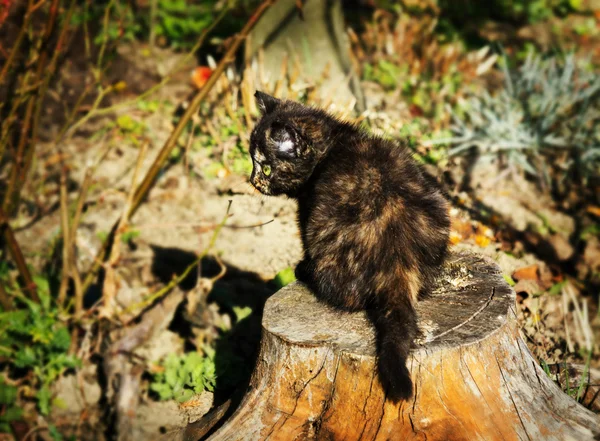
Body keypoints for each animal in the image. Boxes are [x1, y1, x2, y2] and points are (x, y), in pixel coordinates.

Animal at [248, 91, 450, 400]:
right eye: (251, 160)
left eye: (266, 167)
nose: (252, 180)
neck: (333, 143)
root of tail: (396, 259)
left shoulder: (307, 212)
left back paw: (306, 274)